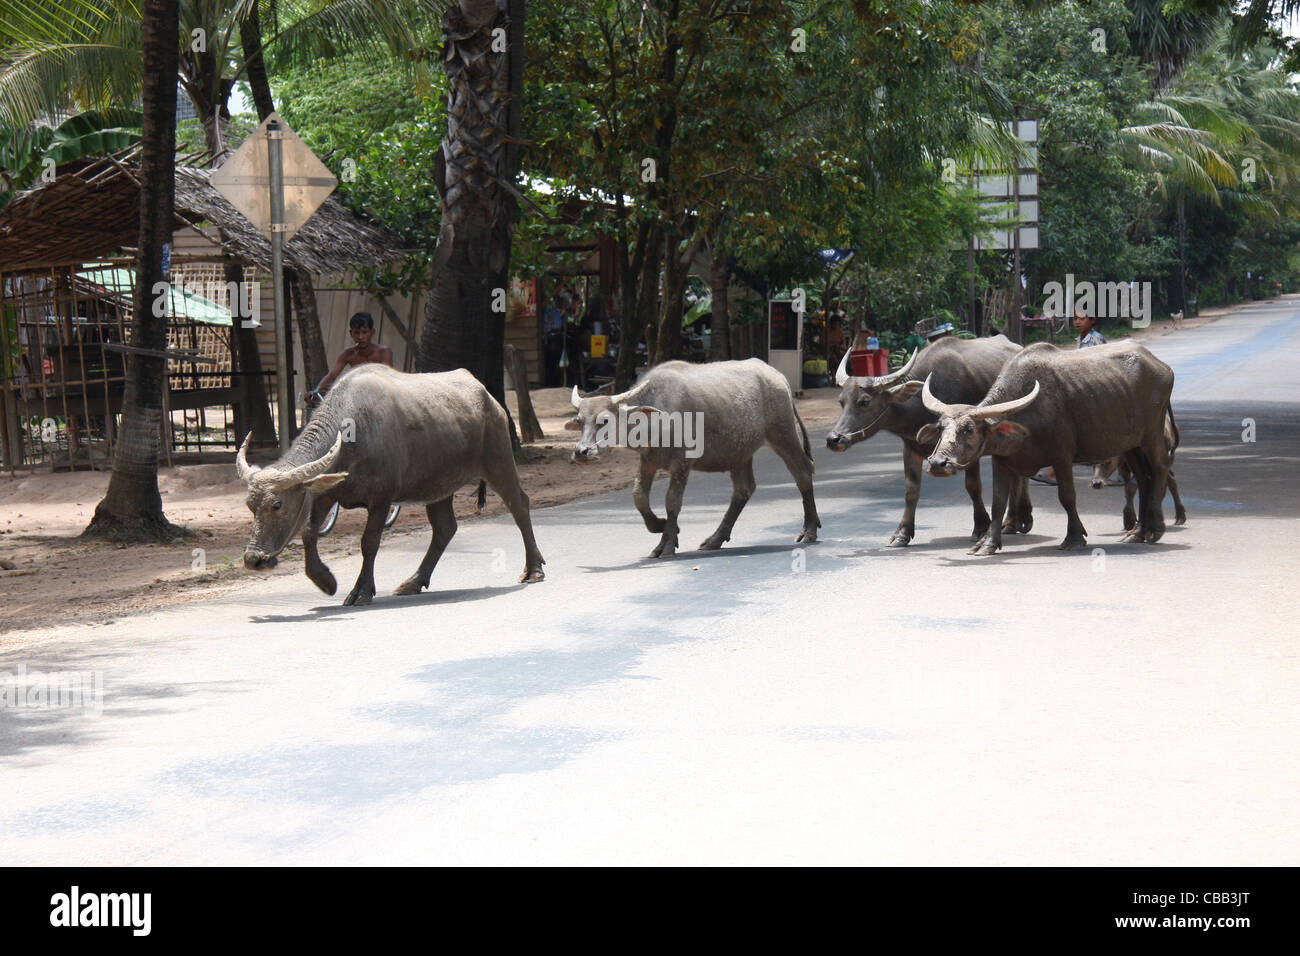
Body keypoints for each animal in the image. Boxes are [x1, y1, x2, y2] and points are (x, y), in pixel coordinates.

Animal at [237, 366, 543, 606]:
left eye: (277, 504)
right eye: (250, 506)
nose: (253, 559)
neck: (353, 433)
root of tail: (489, 398)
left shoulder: (381, 500)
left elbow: (369, 542)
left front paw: (361, 591)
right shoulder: (325, 495)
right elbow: (309, 534)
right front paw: (325, 581)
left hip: (499, 461)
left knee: (520, 505)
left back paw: (534, 569)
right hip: (439, 486)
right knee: (445, 528)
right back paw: (414, 581)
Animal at [566, 356, 816, 554]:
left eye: (604, 420)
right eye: (579, 421)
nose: (582, 452)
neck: (658, 419)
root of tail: (778, 377)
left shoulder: (682, 463)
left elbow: (672, 502)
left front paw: (666, 543)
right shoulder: (647, 461)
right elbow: (639, 497)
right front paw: (660, 525)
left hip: (783, 433)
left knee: (802, 473)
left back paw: (809, 530)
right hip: (740, 452)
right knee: (743, 489)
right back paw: (715, 539)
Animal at [821, 335, 1034, 546]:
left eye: (864, 401)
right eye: (841, 401)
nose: (834, 439)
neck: (919, 410)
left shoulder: (970, 448)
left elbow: (973, 486)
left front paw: (981, 527)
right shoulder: (910, 448)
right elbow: (911, 490)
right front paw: (902, 533)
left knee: (1019, 475)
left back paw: (1017, 520)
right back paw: (1012, 521)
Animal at [915, 343, 1180, 554]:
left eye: (969, 429)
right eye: (941, 428)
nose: (938, 463)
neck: (1027, 418)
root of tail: (1163, 367)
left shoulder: (1062, 457)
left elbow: (1067, 496)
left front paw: (1074, 538)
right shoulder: (1001, 460)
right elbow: (998, 502)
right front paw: (988, 544)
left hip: (1152, 434)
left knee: (1160, 467)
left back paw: (1156, 529)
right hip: (1132, 444)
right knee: (1143, 478)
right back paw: (1138, 532)